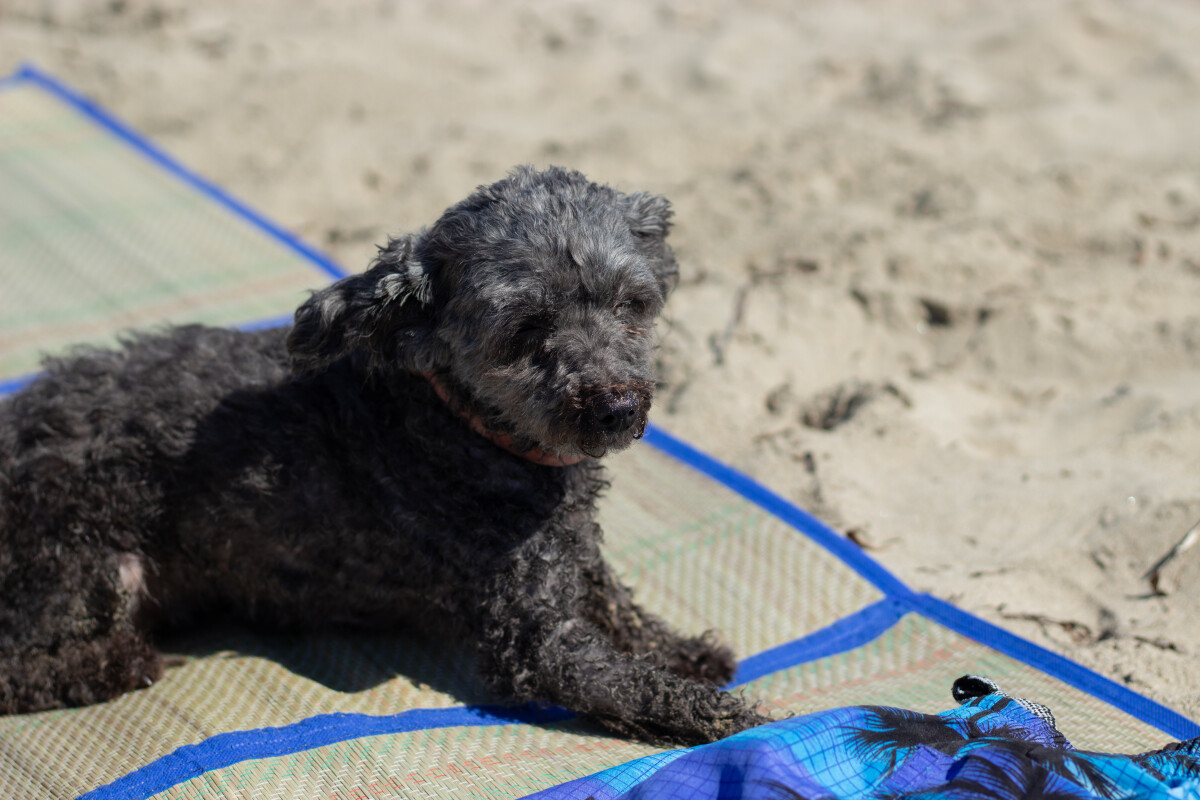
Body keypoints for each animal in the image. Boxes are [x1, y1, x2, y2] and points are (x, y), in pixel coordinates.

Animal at [0, 165, 768, 748]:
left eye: (632, 304)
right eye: (526, 329)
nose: (617, 406)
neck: (464, 426)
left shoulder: (569, 556)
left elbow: (617, 602)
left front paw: (688, 651)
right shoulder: (534, 640)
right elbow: (625, 684)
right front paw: (720, 713)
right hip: (80, 564)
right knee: (17, 668)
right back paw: (113, 664)